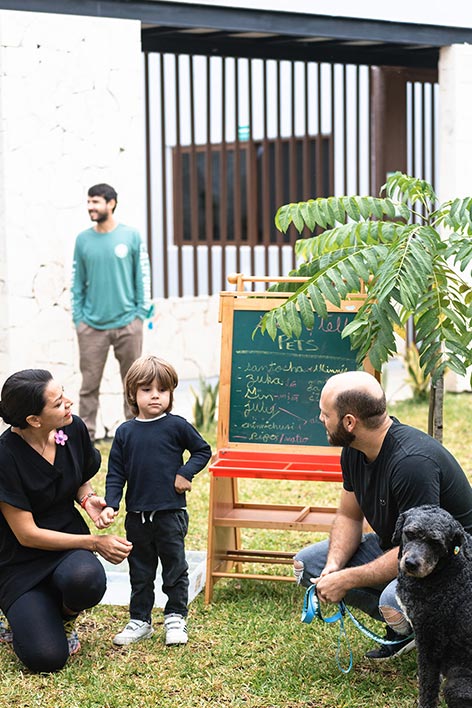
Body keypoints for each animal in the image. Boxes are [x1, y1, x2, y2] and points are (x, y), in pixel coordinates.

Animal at [392, 504, 472, 708]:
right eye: (409, 534)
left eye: (436, 543)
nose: (411, 563)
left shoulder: (429, 642)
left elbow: (427, 687)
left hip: (455, 686)